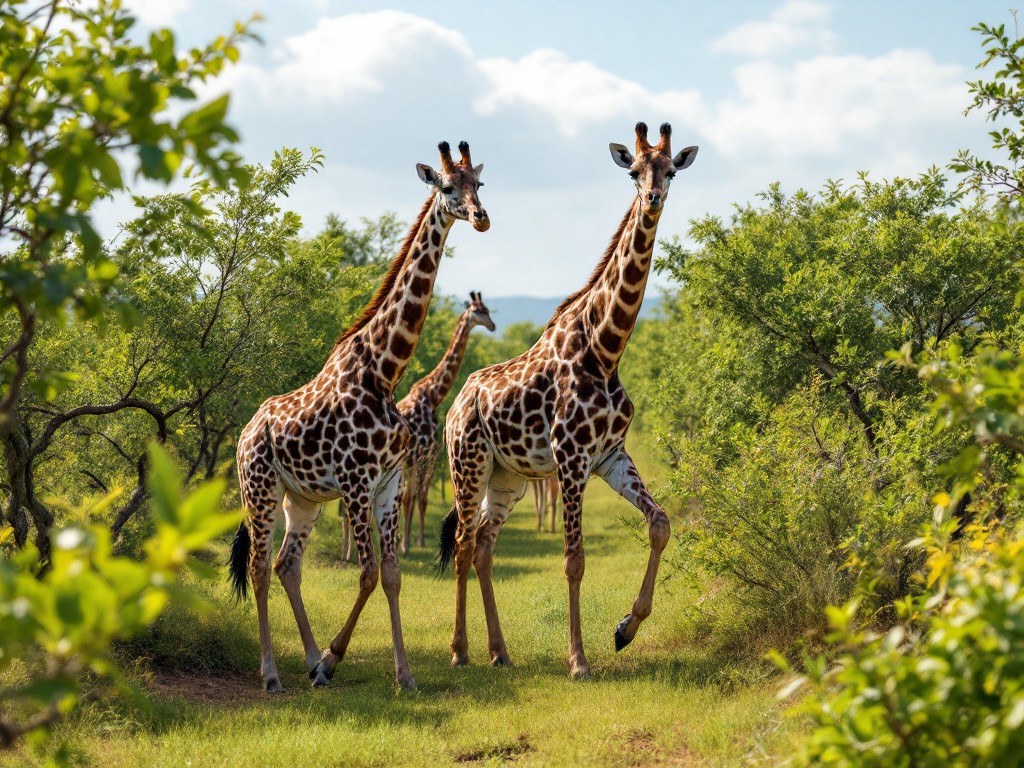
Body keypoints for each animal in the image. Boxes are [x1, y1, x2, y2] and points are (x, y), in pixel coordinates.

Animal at [397, 290, 493, 557]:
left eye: (488, 310)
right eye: (480, 311)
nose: (493, 326)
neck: (432, 395)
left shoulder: (425, 455)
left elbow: (419, 498)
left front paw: (413, 541)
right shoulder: (421, 454)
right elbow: (412, 498)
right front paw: (407, 545)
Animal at [438, 121, 696, 679]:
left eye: (670, 170)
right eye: (633, 171)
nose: (652, 199)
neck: (605, 349)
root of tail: (455, 404)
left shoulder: (610, 456)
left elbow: (661, 523)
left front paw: (625, 629)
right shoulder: (572, 459)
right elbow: (574, 560)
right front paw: (578, 660)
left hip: (508, 477)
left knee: (485, 546)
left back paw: (499, 652)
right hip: (468, 464)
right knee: (465, 544)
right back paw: (459, 651)